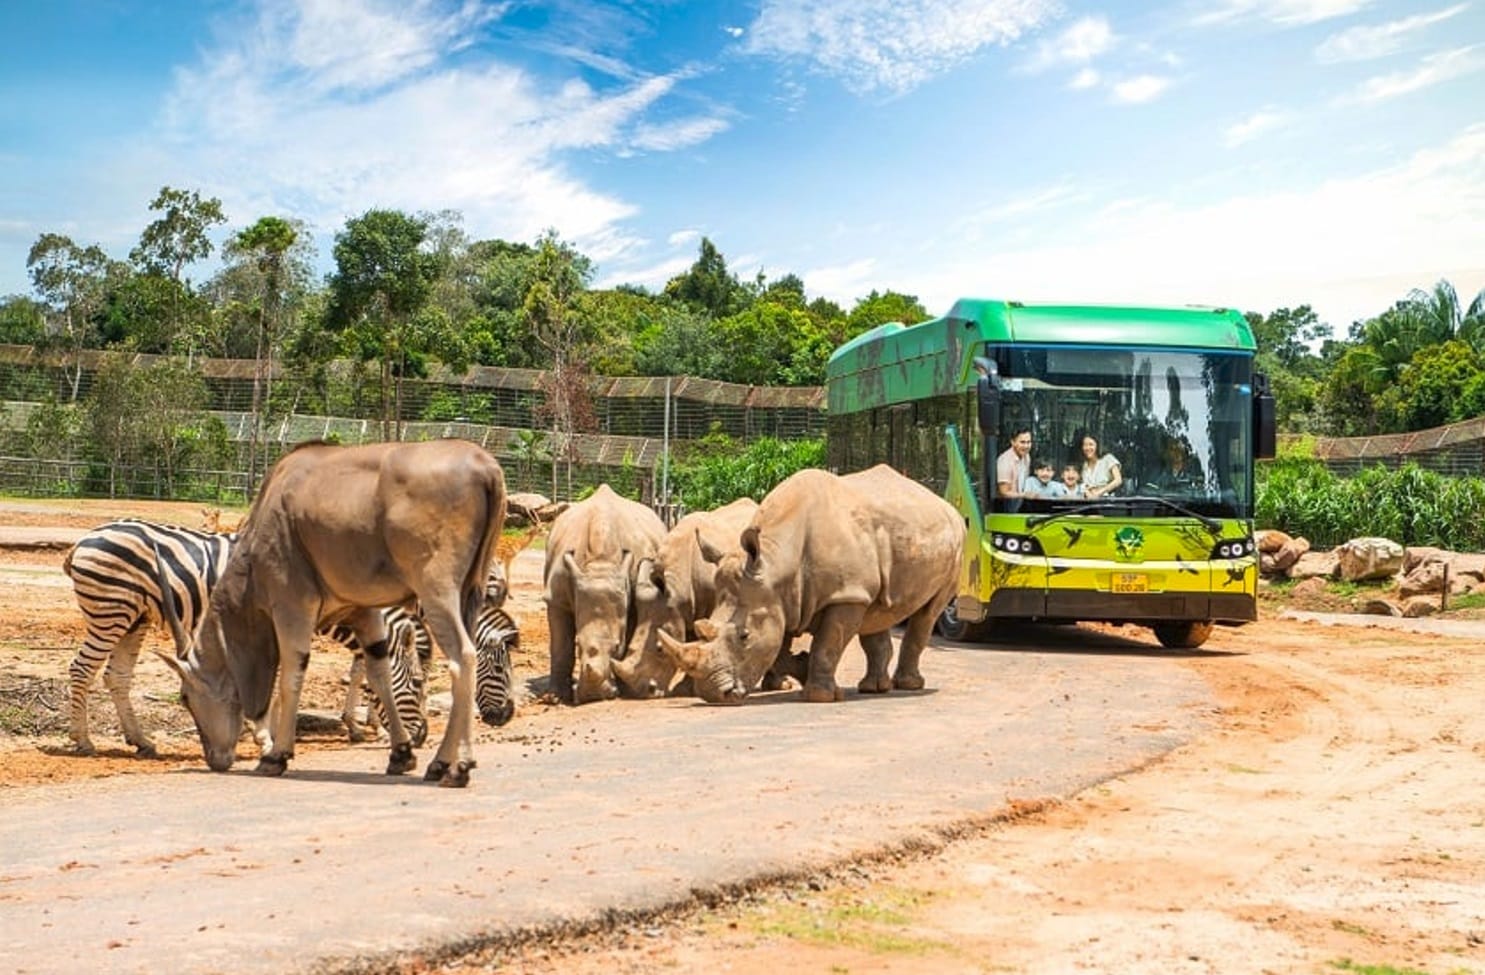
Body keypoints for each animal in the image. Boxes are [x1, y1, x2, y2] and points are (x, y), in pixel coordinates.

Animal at [61, 522, 427, 756]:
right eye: (419, 684)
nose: (421, 738)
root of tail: (86, 538)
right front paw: (267, 738)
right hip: (112, 610)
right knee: (82, 669)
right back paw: (83, 741)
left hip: (134, 616)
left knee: (117, 676)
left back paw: (141, 741)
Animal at [155, 436, 504, 789]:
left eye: (185, 696)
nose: (215, 760)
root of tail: (484, 466)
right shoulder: (364, 612)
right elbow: (379, 674)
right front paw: (400, 754)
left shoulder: (292, 605)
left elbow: (290, 675)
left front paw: (275, 756)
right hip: (469, 595)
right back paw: (439, 764)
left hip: (437, 593)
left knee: (463, 657)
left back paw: (457, 767)